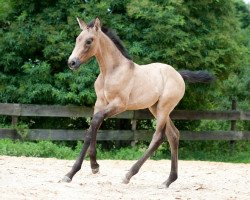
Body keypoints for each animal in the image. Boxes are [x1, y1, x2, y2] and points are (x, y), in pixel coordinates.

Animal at [64, 17, 213, 188]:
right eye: (77, 39)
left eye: (89, 41)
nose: (72, 62)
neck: (111, 71)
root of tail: (178, 75)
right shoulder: (100, 103)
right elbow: (92, 128)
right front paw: (92, 167)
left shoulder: (119, 104)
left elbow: (95, 122)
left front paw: (75, 171)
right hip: (156, 108)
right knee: (173, 135)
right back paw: (168, 181)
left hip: (163, 108)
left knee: (158, 137)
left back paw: (129, 175)